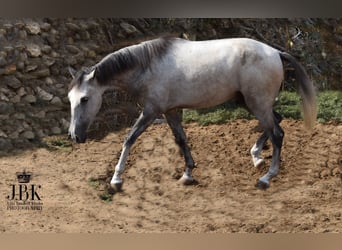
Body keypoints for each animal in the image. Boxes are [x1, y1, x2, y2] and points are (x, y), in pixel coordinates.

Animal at [67, 36, 318, 189]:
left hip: (257, 103)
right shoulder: (170, 111)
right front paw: (187, 174)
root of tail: (275, 52)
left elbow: (129, 139)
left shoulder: (151, 111)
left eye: (85, 99)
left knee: (277, 134)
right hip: (251, 102)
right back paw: (256, 155)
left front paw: (116, 179)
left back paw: (266, 177)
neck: (148, 66)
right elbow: (181, 139)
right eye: (70, 99)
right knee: (277, 122)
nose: (74, 136)